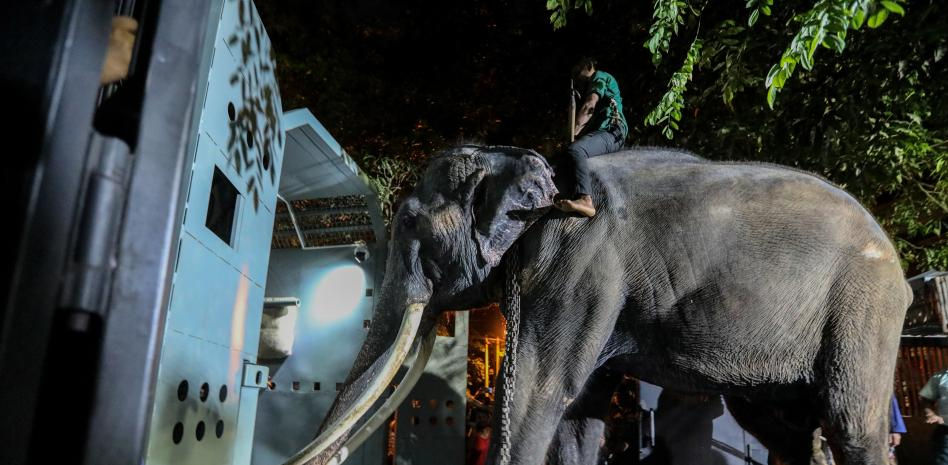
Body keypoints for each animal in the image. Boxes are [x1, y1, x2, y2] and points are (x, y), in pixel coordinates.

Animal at [293, 145, 912, 465]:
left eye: (408, 225)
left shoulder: (579, 262)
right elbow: (579, 414)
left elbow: (540, 393)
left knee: (851, 422)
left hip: (865, 302)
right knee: (785, 427)